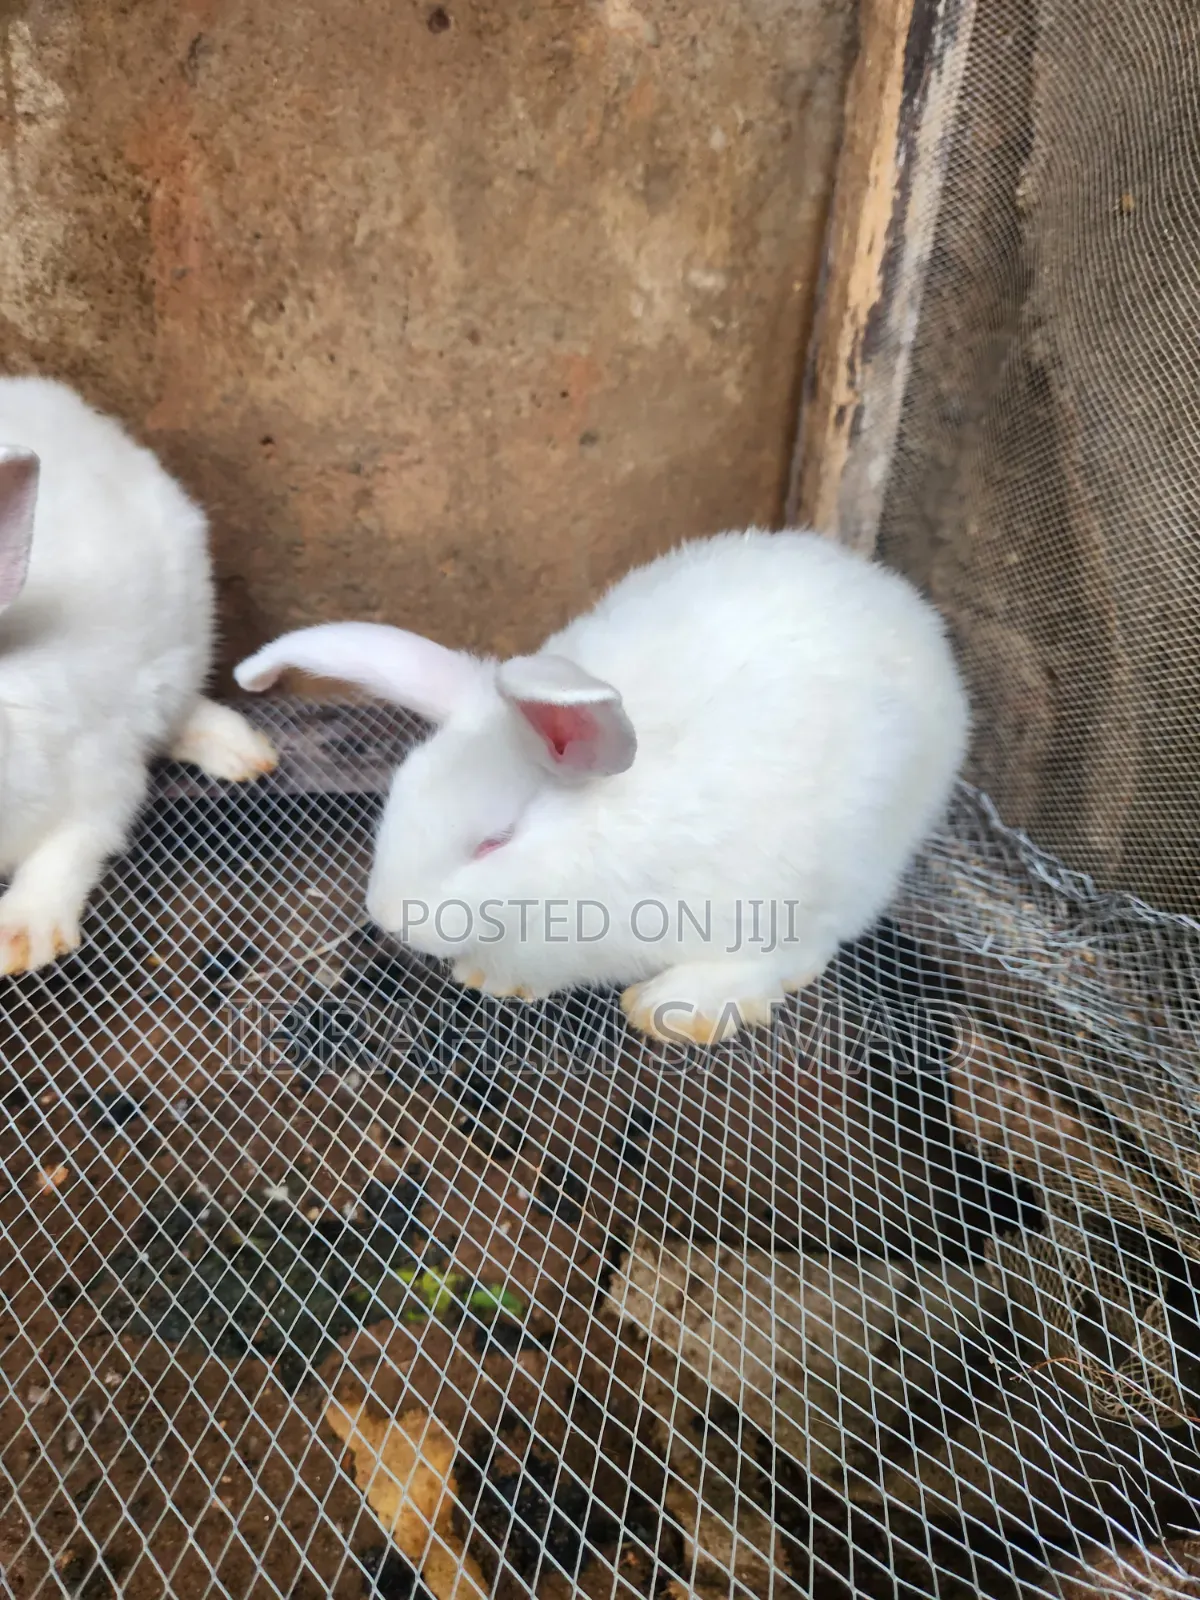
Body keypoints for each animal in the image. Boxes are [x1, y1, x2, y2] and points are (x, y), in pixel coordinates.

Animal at [233, 528, 969, 1045]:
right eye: (403, 790)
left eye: (494, 842)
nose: (387, 917)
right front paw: (490, 978)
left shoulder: (759, 898)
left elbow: (771, 960)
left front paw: (671, 1008)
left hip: (862, 856)